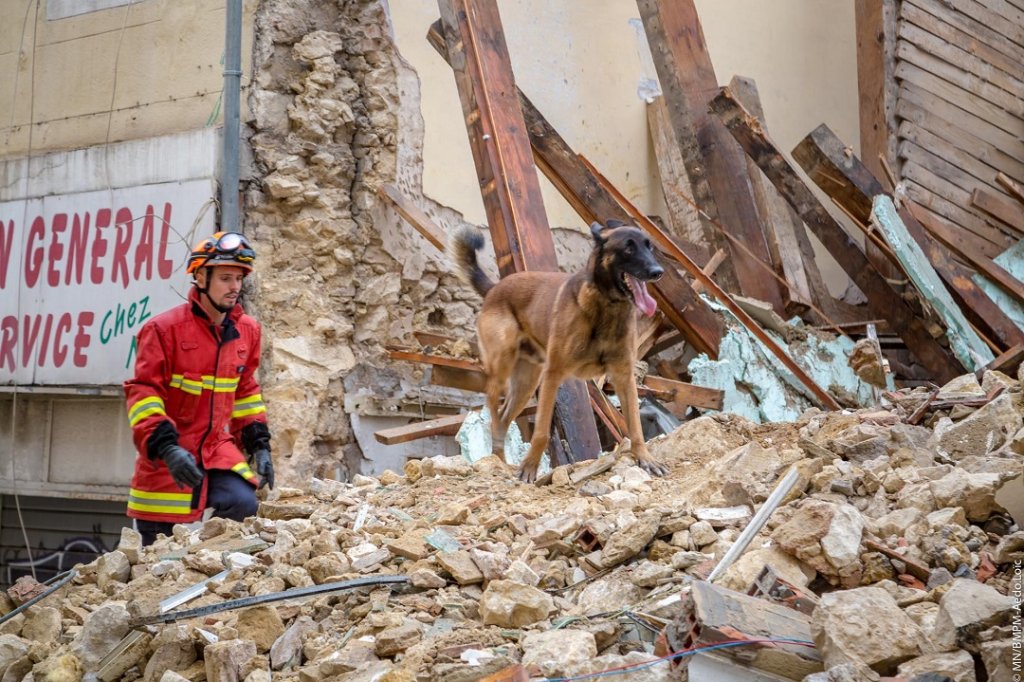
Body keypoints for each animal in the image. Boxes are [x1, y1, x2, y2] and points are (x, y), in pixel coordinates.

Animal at [452, 220, 667, 481]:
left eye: (649, 247)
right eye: (628, 248)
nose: (658, 272)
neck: (607, 306)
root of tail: (495, 288)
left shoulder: (624, 377)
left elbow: (635, 426)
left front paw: (645, 459)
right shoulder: (553, 376)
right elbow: (541, 431)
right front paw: (529, 468)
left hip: (526, 384)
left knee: (503, 417)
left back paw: (501, 461)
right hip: (502, 371)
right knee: (494, 413)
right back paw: (498, 460)